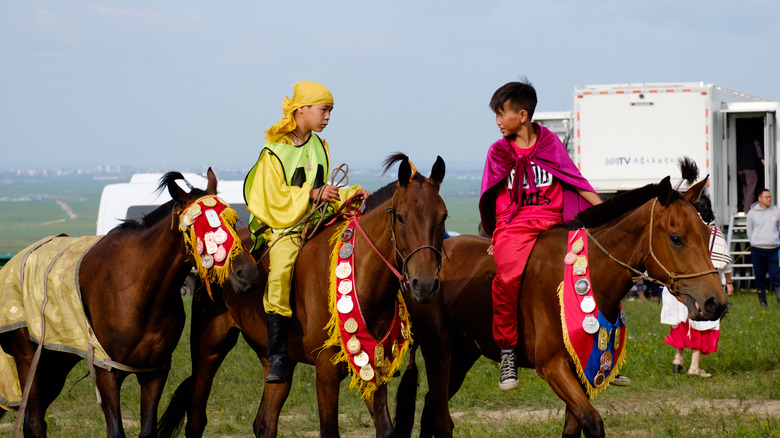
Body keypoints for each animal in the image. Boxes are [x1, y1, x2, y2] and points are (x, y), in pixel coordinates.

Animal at [0, 169, 262, 438]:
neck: (139, 290)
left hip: (55, 363)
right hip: (28, 358)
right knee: (34, 421)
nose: (247, 274)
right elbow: (116, 431)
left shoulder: (155, 372)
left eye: (232, 221)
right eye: (200, 225)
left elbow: (147, 430)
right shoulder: (107, 371)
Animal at [156, 152, 448, 436]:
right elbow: (329, 430)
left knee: (264, 423)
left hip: (275, 362)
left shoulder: (373, 367)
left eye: (443, 216)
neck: (361, 276)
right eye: (401, 216)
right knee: (196, 418)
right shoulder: (326, 371)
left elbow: (386, 429)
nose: (424, 284)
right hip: (209, 350)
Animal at [402, 175, 732, 438]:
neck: (584, 273)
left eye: (707, 235)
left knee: (431, 407)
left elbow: (575, 427)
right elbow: (593, 422)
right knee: (437, 413)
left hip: (463, 354)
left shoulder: (582, 369)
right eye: (676, 238)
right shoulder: (553, 367)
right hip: (439, 351)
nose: (715, 302)